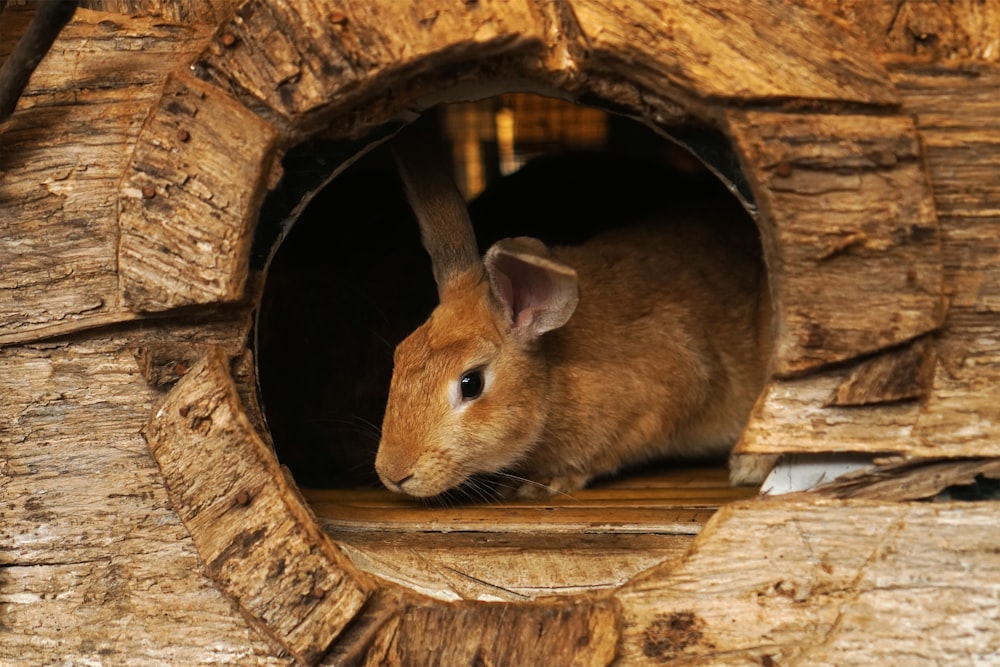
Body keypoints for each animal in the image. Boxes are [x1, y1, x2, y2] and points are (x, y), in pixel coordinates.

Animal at [376, 130, 772, 498]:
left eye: (470, 383)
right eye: (398, 357)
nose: (393, 473)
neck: (553, 372)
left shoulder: (670, 391)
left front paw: (545, 481)